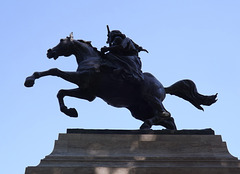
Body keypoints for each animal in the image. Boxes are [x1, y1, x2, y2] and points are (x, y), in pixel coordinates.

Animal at [24, 33, 218, 130]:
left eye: (61, 40)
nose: (49, 52)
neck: (91, 59)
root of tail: (164, 87)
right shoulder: (87, 92)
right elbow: (61, 92)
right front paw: (70, 111)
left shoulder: (82, 81)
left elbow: (54, 71)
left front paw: (30, 79)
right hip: (139, 110)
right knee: (169, 120)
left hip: (151, 99)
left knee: (165, 113)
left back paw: (147, 125)